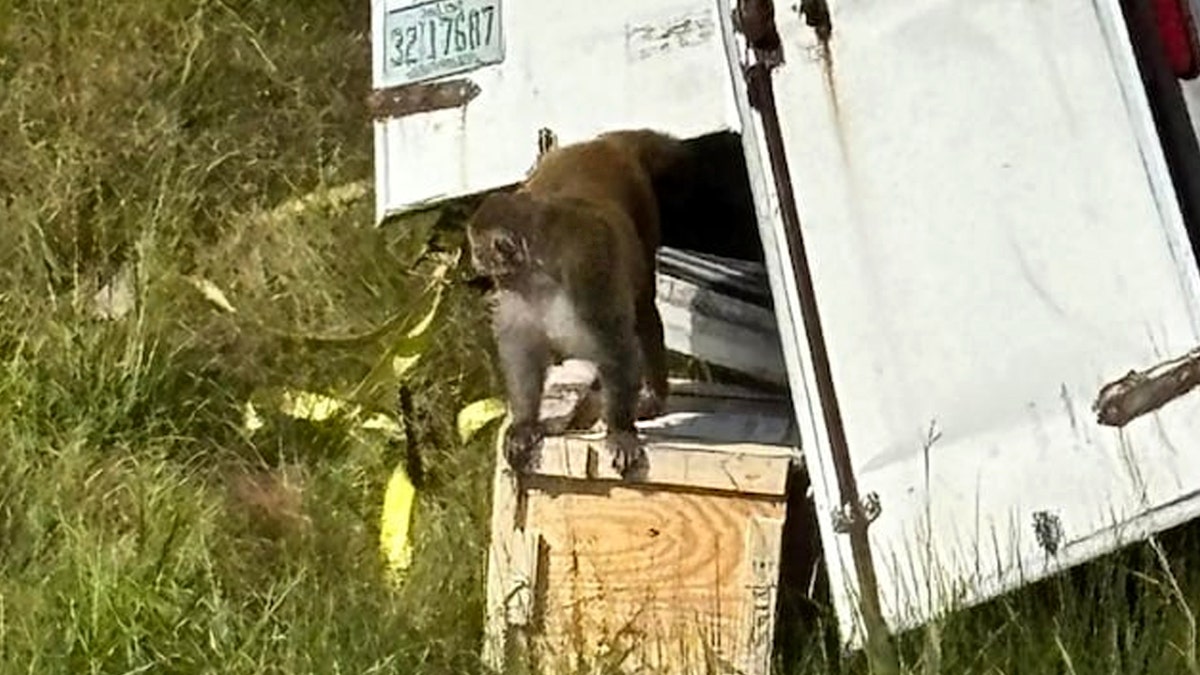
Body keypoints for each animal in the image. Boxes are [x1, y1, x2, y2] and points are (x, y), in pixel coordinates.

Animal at [466, 129, 688, 478]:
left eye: (478, 250)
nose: (474, 262)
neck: (539, 268)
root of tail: (601, 143)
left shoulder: (587, 269)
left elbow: (614, 343)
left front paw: (620, 430)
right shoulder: (517, 290)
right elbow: (523, 349)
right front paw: (525, 423)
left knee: (643, 309)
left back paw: (654, 394)